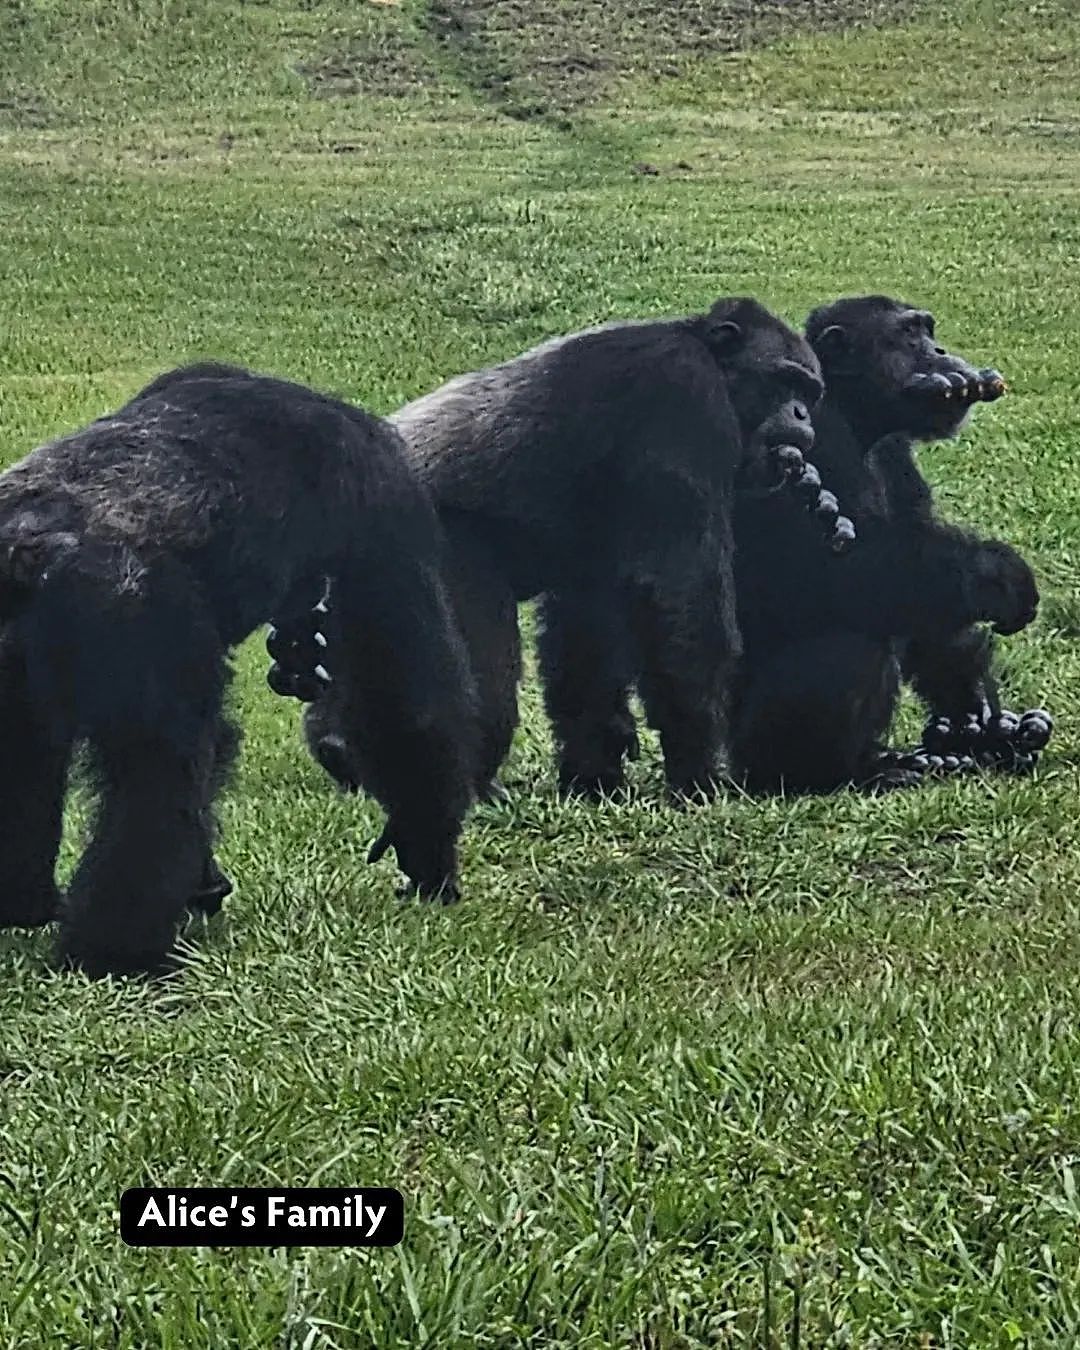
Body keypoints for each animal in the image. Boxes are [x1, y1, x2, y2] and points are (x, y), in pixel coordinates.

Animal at [0, 364, 477, 977]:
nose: (297, 642)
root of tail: (25, 548)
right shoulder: (388, 502)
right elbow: (405, 700)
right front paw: (426, 850)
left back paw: (24, 903)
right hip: (126, 608)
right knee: (160, 775)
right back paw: (119, 952)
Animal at [265, 297, 858, 799]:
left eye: (810, 392)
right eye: (784, 381)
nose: (803, 416)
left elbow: (587, 633)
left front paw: (595, 773)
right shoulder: (683, 400)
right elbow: (679, 599)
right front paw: (697, 767)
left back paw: (341, 750)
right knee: (477, 667)